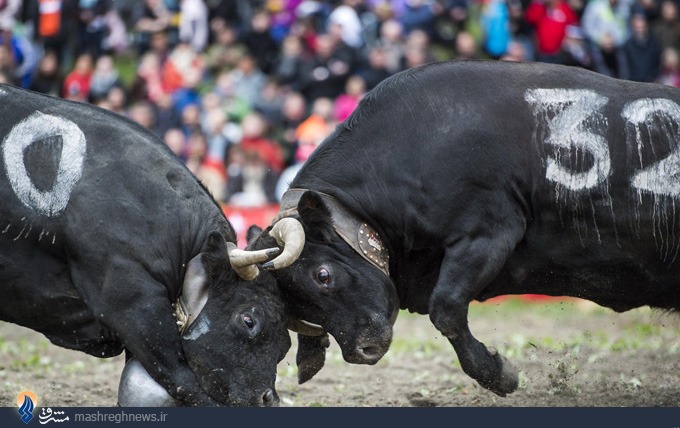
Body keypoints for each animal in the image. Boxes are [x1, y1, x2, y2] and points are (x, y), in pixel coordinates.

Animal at [248, 60, 680, 394]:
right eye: (292, 306)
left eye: (322, 275)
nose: (362, 351)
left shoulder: (487, 233)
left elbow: (447, 309)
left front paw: (500, 374)